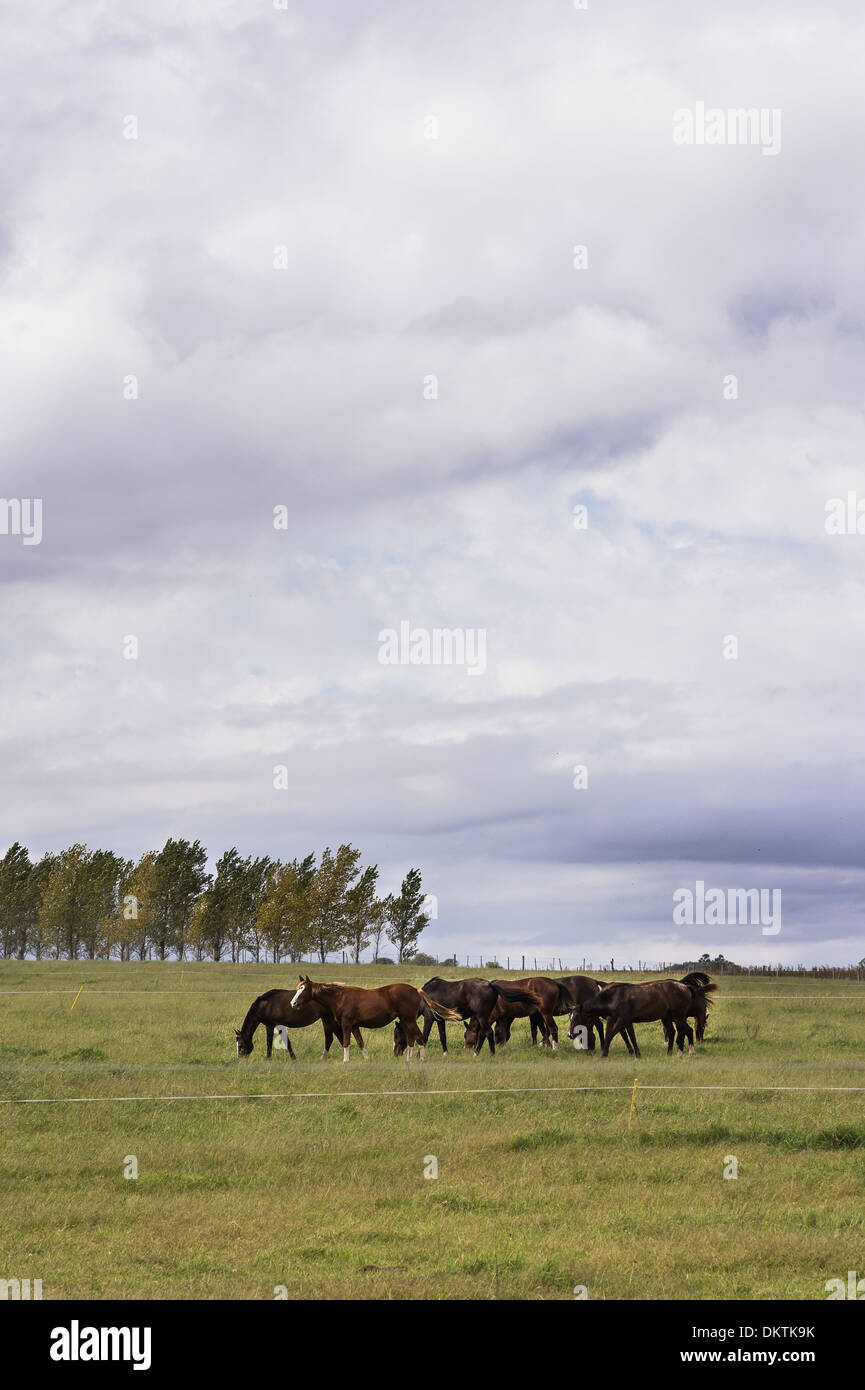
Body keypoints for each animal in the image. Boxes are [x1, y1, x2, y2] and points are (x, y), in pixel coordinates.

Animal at [289, 978, 467, 1061]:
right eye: (298, 988)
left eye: (303, 989)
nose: (293, 1003)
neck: (340, 997)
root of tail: (416, 990)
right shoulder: (355, 1026)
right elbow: (360, 1042)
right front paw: (367, 1059)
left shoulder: (346, 1024)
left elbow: (346, 1042)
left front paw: (345, 1060)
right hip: (406, 1020)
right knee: (412, 1039)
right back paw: (409, 1058)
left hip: (409, 1019)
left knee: (419, 1037)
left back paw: (421, 1058)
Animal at [397, 978, 545, 1061]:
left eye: (397, 1033)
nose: (396, 1054)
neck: (424, 995)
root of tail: (490, 985)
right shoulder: (440, 1019)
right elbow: (442, 1036)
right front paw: (445, 1053)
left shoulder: (429, 1017)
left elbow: (424, 1036)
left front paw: (418, 1056)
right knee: (483, 1034)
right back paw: (477, 1053)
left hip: (482, 1016)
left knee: (488, 1033)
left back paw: (489, 1054)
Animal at [575, 973, 717, 1056]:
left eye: (576, 1017)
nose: (571, 1034)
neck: (615, 997)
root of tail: (685, 987)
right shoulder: (627, 1021)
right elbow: (632, 1037)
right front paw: (637, 1054)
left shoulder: (621, 1020)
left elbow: (610, 1035)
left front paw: (604, 1053)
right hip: (669, 1018)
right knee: (675, 1032)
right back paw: (670, 1053)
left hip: (678, 1017)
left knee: (686, 1031)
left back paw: (684, 1052)